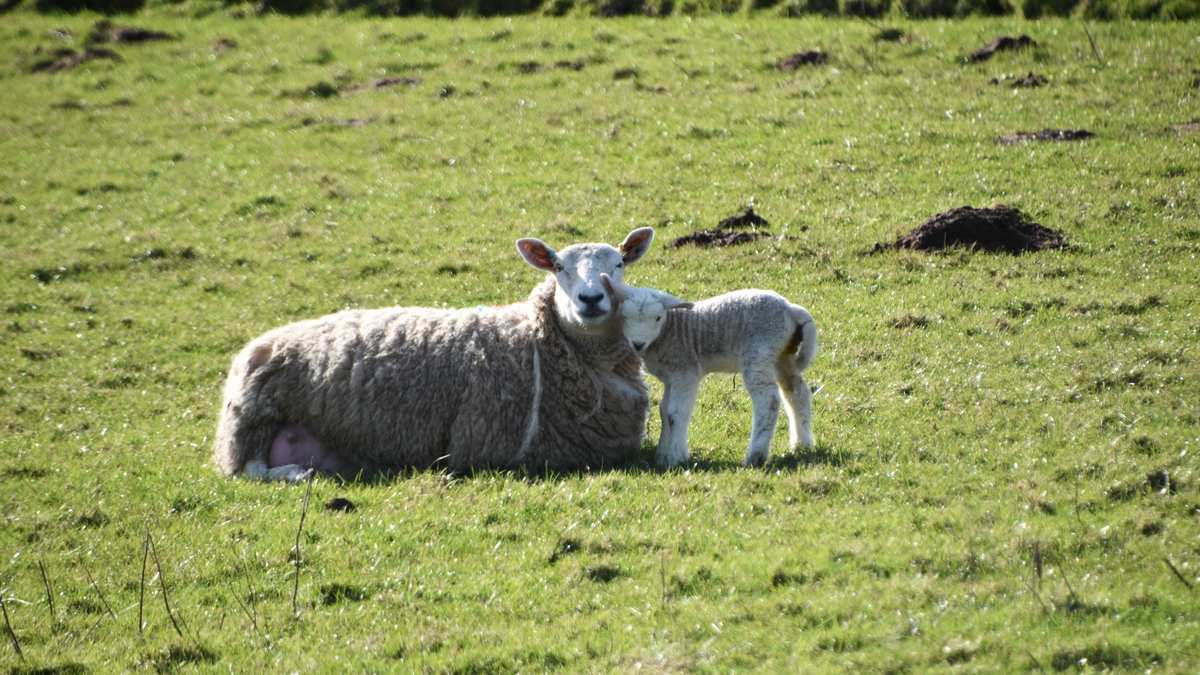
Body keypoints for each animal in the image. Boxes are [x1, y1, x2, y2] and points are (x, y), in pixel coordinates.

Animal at [212, 228, 656, 482]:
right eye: (559, 267)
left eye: (619, 264)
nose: (591, 299)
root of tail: (259, 343)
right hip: (251, 422)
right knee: (249, 471)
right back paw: (295, 473)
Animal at [602, 275, 818, 468]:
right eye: (625, 317)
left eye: (657, 318)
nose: (638, 344)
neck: (669, 329)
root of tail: (790, 309)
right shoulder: (671, 376)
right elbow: (664, 412)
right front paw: (662, 456)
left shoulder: (686, 371)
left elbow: (676, 413)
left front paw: (675, 458)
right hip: (782, 353)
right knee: (796, 392)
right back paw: (801, 444)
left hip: (759, 352)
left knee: (768, 401)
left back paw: (756, 456)